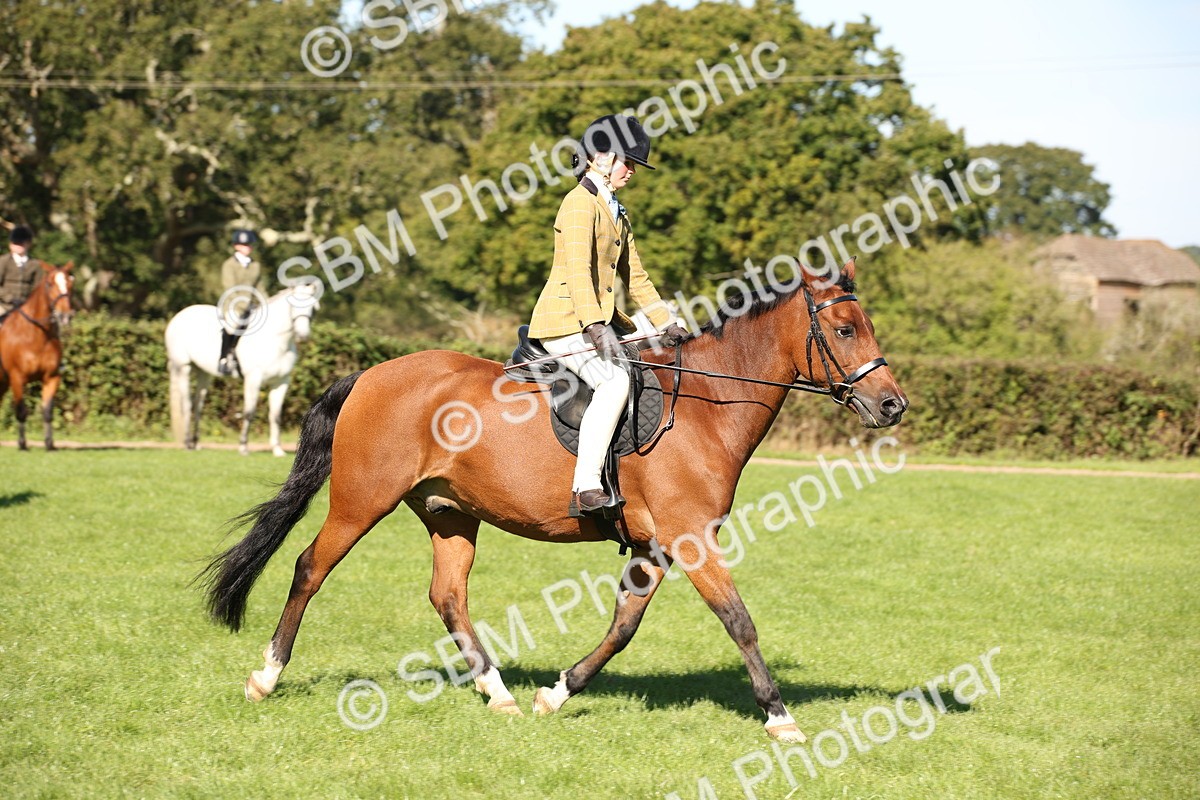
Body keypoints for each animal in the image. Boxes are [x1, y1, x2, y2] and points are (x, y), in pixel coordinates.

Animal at [0, 261, 75, 450]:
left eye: (70, 284)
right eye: (50, 284)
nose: (65, 315)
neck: (37, 335)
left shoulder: (52, 378)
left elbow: (47, 411)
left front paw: (49, 444)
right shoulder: (17, 378)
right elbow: (21, 410)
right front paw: (22, 444)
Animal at [165, 284, 318, 457]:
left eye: (313, 306)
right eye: (293, 305)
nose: (303, 335)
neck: (277, 341)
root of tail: (179, 315)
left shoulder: (281, 382)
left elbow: (276, 416)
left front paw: (277, 449)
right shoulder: (254, 379)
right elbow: (249, 412)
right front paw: (243, 446)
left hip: (204, 373)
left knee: (198, 405)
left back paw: (195, 442)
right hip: (183, 367)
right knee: (187, 403)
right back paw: (187, 443)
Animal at [201, 259, 908, 743]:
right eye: (845, 328)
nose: (893, 406)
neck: (707, 406)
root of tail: (371, 373)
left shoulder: (655, 546)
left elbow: (623, 627)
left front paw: (557, 693)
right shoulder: (691, 538)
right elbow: (739, 620)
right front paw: (781, 717)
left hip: (450, 514)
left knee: (447, 596)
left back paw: (500, 694)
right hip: (360, 502)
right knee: (309, 568)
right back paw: (266, 677)